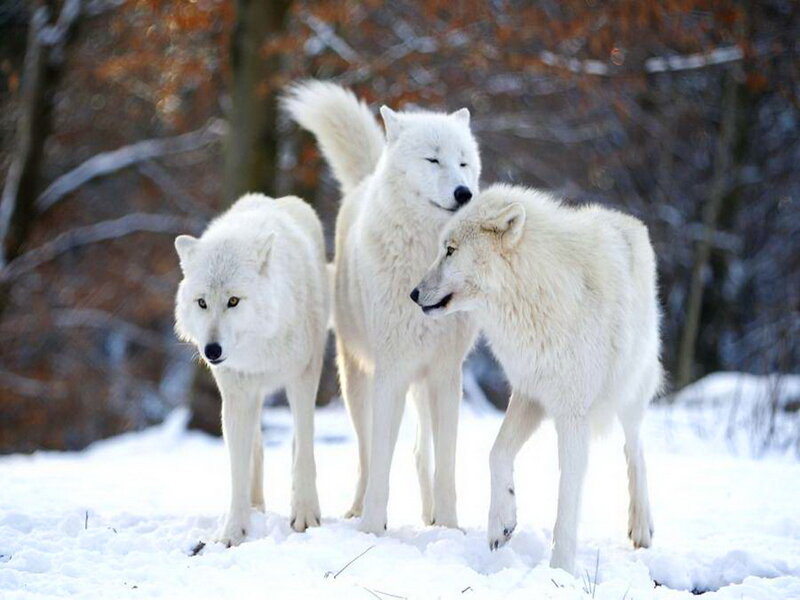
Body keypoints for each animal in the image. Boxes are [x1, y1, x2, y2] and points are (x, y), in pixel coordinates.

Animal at [174, 193, 328, 546]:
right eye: (202, 303)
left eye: (233, 301)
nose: (212, 351)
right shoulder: (236, 395)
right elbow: (238, 470)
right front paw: (234, 531)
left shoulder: (303, 378)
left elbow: (304, 452)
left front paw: (305, 515)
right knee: (257, 446)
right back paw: (257, 507)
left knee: (297, 443)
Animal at [283, 81, 481, 533]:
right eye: (433, 159)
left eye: (464, 162)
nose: (465, 193)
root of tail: (365, 179)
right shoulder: (391, 372)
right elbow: (380, 463)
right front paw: (372, 528)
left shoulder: (446, 374)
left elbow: (446, 466)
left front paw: (450, 528)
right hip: (357, 379)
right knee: (366, 452)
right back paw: (357, 510)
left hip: (420, 385)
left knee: (421, 453)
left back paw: (430, 516)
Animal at [412, 184, 662, 573]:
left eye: (450, 251)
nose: (413, 294)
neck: (534, 292)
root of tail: (628, 220)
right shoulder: (529, 394)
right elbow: (496, 453)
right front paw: (501, 523)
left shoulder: (573, 414)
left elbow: (567, 498)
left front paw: (560, 569)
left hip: (630, 391)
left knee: (634, 448)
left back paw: (641, 527)